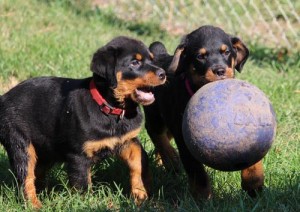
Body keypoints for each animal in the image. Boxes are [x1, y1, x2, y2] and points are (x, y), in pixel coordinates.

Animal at [0, 36, 166, 207]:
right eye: (134, 62)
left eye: (152, 59)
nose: (163, 73)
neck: (112, 110)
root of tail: (3, 97)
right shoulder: (78, 156)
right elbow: (83, 185)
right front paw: (87, 204)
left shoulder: (128, 140)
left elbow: (138, 162)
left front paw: (140, 195)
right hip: (20, 143)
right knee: (25, 177)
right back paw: (35, 205)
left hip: (46, 149)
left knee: (36, 173)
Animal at [144, 25, 264, 199]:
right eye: (200, 56)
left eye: (226, 52)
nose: (220, 70)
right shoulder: (185, 140)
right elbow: (197, 172)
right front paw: (203, 198)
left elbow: (253, 154)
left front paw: (253, 183)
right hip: (155, 114)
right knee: (156, 134)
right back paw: (171, 159)